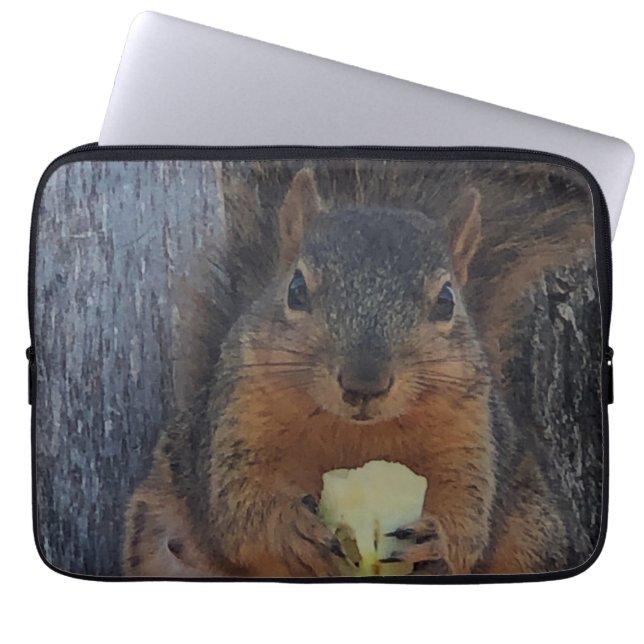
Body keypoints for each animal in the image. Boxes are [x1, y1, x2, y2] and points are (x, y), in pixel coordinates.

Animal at [123, 167, 569, 577]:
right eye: (296, 290)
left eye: (446, 301)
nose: (364, 384)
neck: (356, 434)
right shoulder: (240, 418)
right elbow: (239, 507)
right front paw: (290, 528)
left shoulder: (469, 436)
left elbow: (468, 518)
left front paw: (436, 541)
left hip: (532, 534)